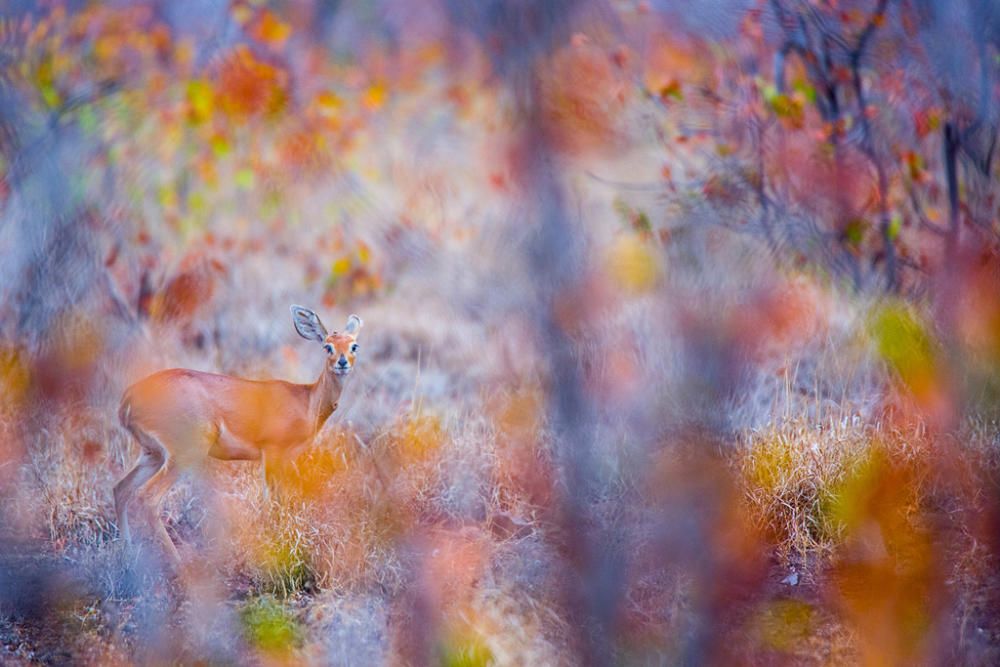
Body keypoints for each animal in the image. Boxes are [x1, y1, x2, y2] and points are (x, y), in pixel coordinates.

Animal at [114, 306, 364, 564]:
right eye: (327, 346)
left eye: (354, 345)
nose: (342, 363)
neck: (307, 401)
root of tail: (128, 399)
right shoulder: (272, 452)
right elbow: (271, 501)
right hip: (184, 453)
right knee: (148, 498)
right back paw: (178, 562)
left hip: (153, 454)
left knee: (121, 489)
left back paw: (128, 552)